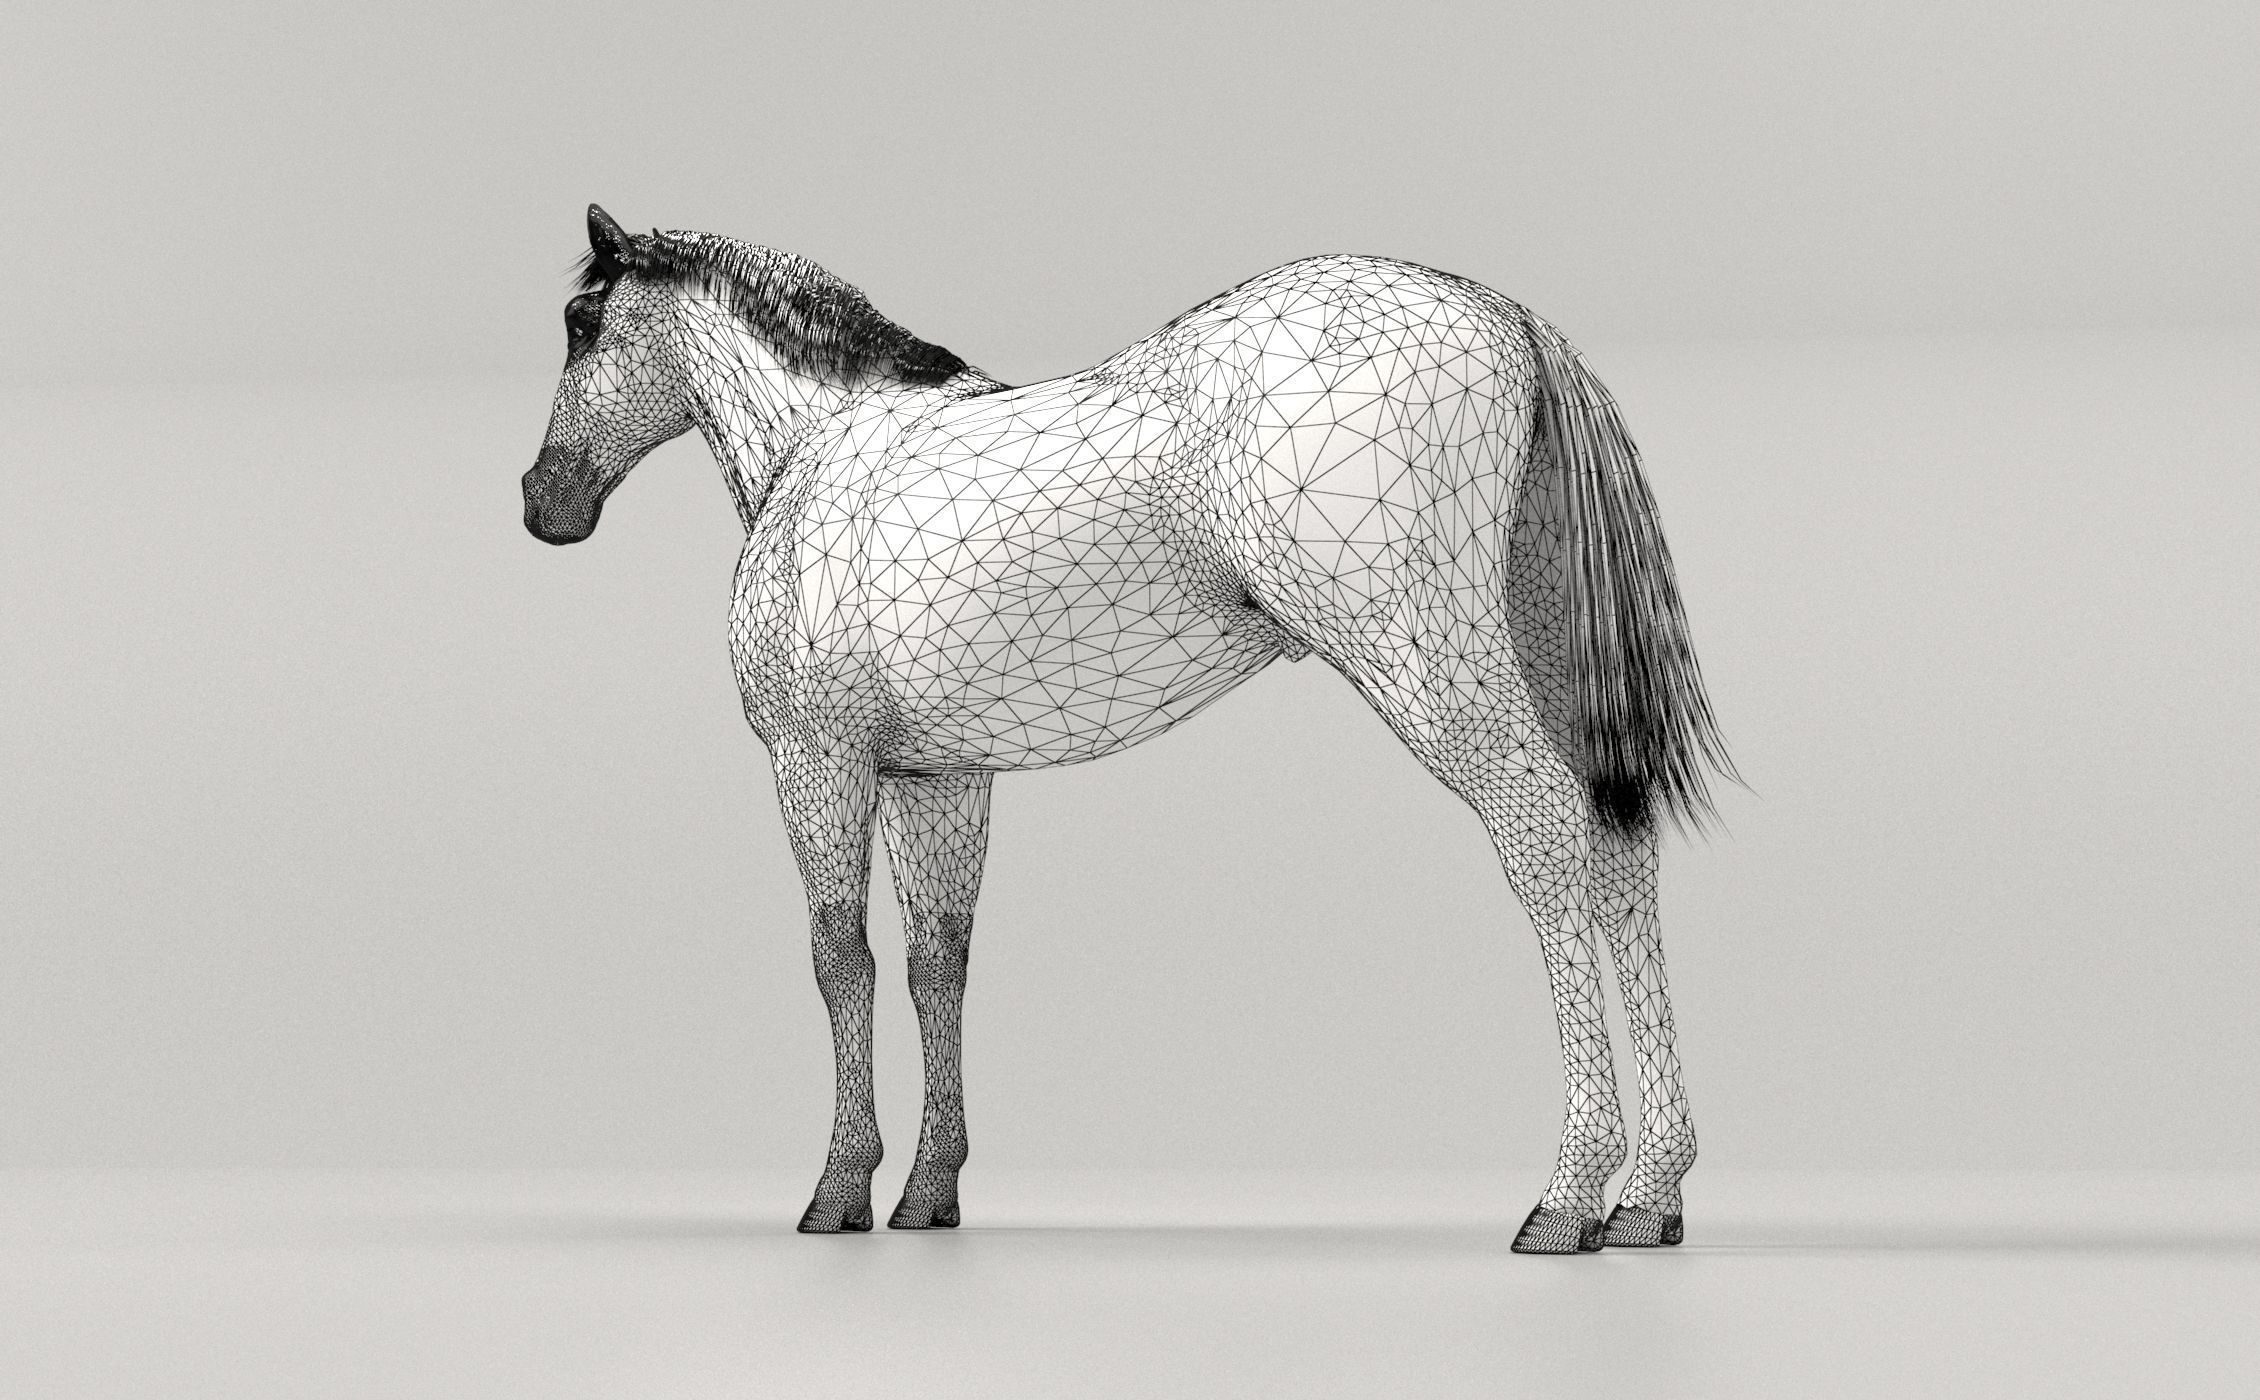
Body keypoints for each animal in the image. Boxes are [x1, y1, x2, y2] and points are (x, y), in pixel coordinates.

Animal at [522, 205, 1733, 1253]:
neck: (825, 452)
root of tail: (1506, 317)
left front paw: (838, 1190)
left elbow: (839, 959)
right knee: (1620, 851)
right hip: (1543, 659)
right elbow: (936, 963)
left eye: (581, 323)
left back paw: (1568, 1197)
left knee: (1547, 835)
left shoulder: (818, 760)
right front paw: (928, 1191)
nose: (543, 503)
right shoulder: (938, 776)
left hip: (1431, 666)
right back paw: (1649, 1198)